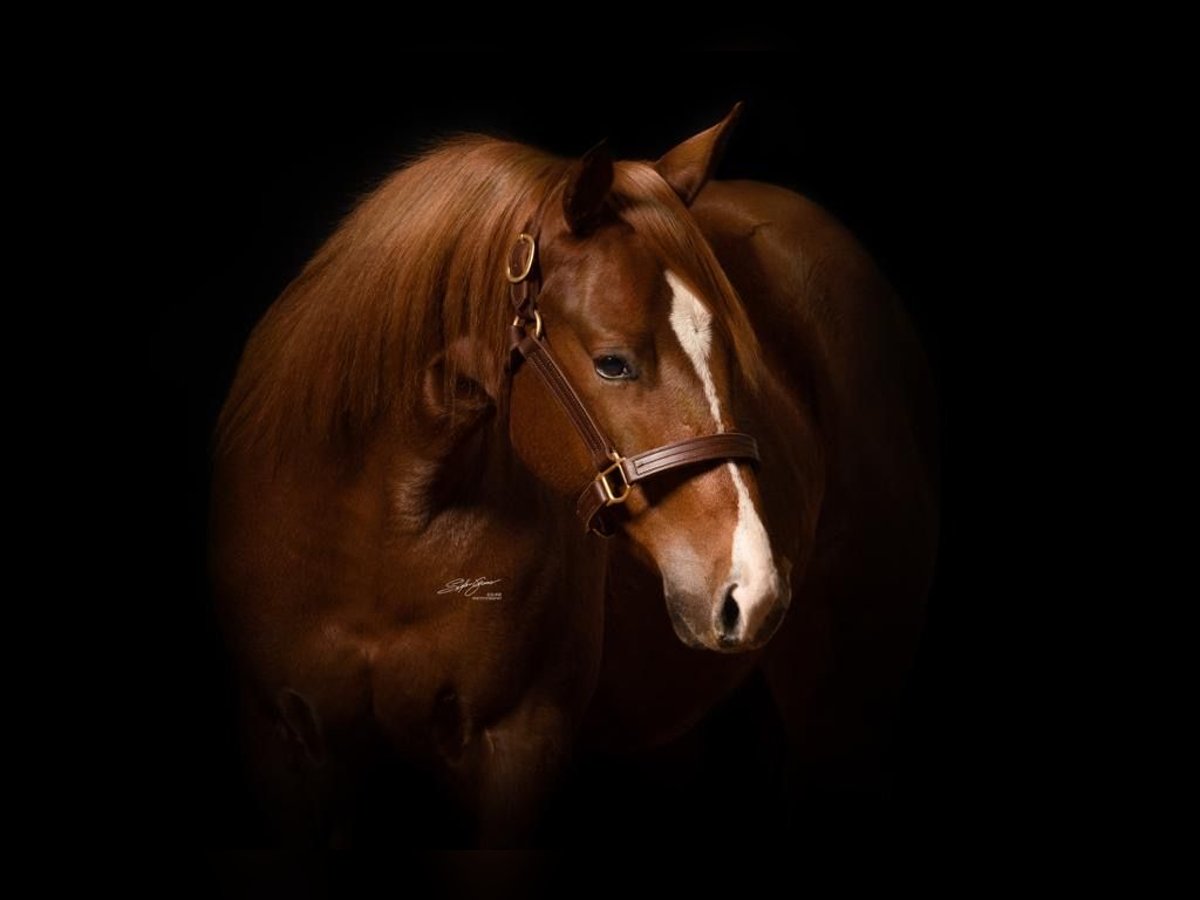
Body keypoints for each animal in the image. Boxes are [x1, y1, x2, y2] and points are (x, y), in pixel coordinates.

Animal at [211, 105, 936, 844]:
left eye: (733, 354)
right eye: (613, 362)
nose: (754, 588)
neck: (380, 533)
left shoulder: (516, 750)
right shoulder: (287, 750)